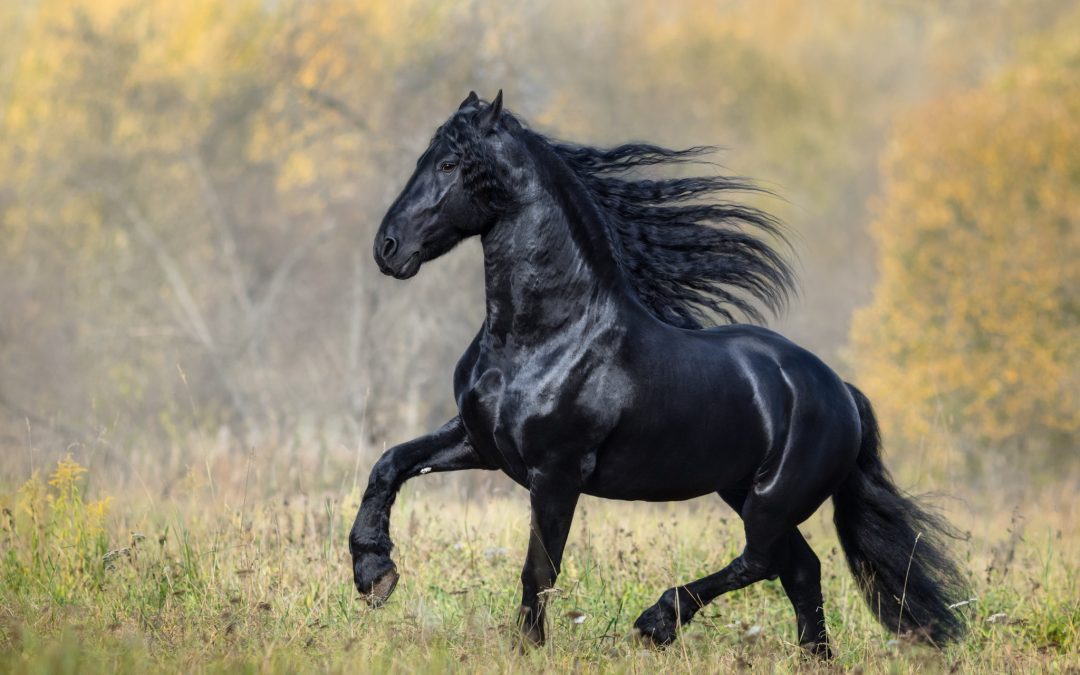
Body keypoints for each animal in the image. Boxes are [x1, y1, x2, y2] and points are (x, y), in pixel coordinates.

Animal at [349, 90, 968, 657]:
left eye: (449, 165)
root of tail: (842, 391)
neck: (544, 335)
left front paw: (528, 648)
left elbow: (540, 568)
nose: (387, 247)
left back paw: (658, 622)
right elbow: (390, 465)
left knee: (763, 560)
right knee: (799, 568)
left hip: (772, 497)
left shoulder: (556, 473)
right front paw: (374, 573)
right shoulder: (480, 442)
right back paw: (812, 657)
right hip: (740, 488)